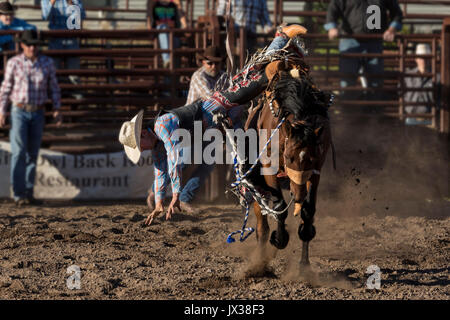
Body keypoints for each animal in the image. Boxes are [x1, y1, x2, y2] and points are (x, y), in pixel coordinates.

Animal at [243, 63, 334, 268]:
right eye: (288, 157)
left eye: (312, 158)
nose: (298, 194)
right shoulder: (269, 170)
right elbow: (279, 208)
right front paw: (279, 239)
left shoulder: (315, 172)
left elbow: (308, 210)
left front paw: (304, 264)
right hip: (257, 182)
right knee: (262, 224)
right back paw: (260, 261)